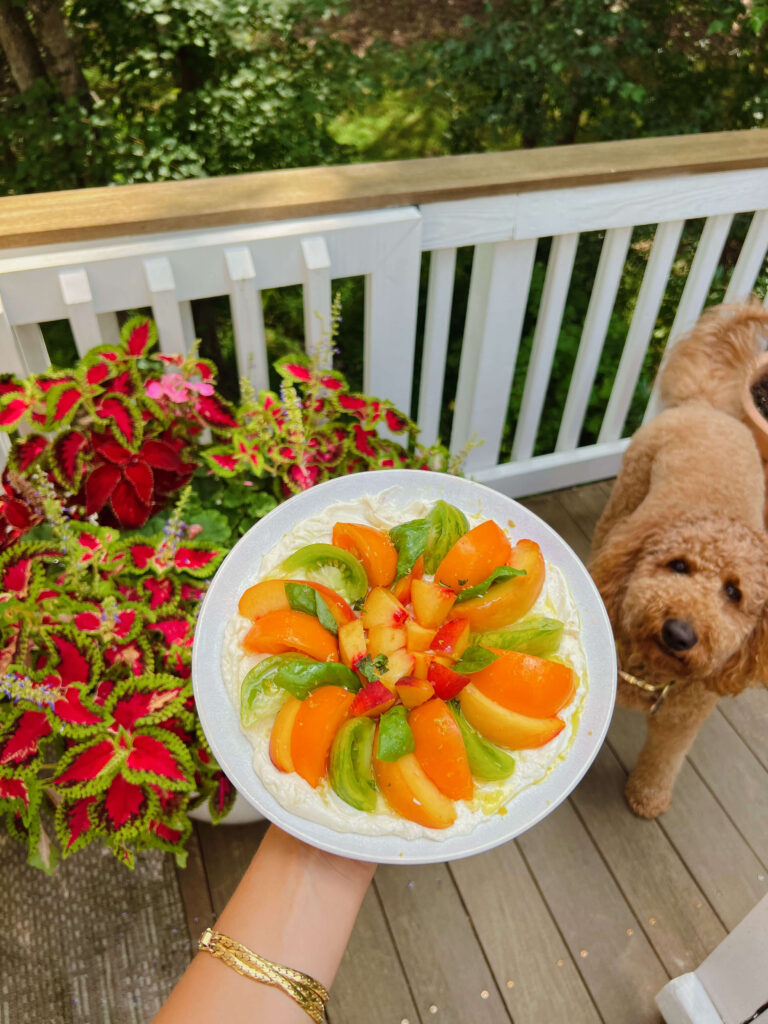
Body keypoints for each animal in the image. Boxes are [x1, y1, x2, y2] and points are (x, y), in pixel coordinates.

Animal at [589, 301, 768, 815]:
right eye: (679, 566)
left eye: (734, 593)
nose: (680, 632)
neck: (653, 672)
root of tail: (708, 406)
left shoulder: (684, 717)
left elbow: (665, 757)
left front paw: (648, 797)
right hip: (627, 493)